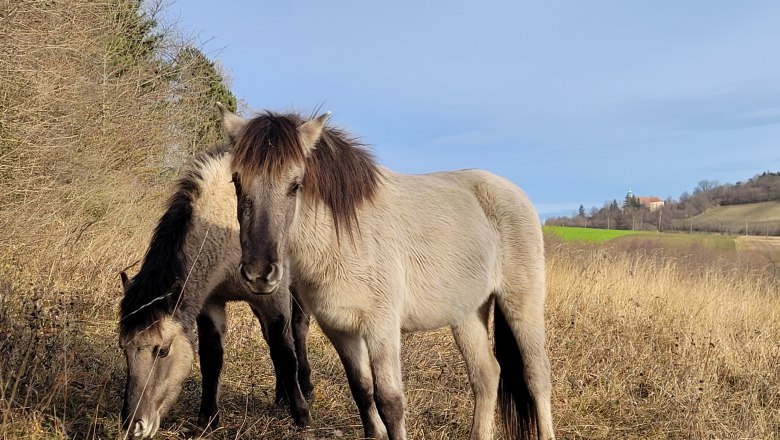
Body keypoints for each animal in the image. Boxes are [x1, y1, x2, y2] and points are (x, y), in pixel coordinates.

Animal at [117, 146, 312, 438]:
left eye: (162, 350)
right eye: (124, 348)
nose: (135, 426)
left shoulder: (273, 298)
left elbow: (285, 352)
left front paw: (301, 415)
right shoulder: (211, 302)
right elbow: (212, 358)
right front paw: (207, 419)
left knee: (296, 331)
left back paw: (304, 388)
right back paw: (281, 396)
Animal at [219, 105, 556, 440]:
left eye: (295, 185)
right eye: (237, 182)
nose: (259, 273)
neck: (347, 238)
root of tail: (513, 192)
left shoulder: (381, 327)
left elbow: (390, 401)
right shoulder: (340, 330)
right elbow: (362, 390)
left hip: (521, 305)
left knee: (536, 376)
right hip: (468, 313)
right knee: (486, 375)